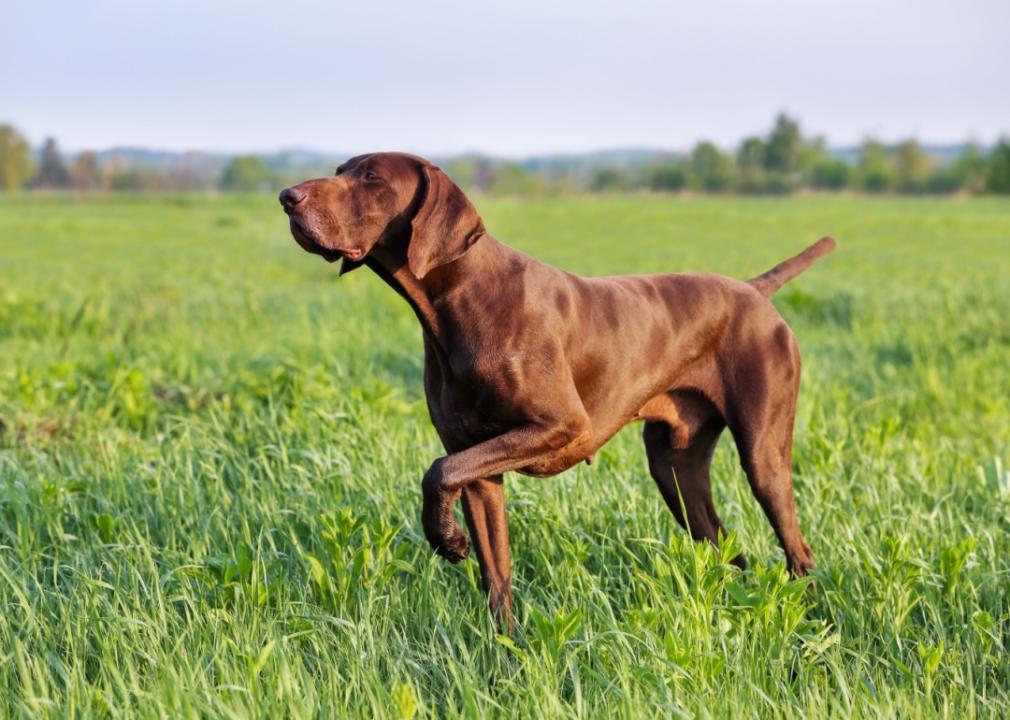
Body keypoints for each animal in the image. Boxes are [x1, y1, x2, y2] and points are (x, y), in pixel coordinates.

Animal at [280, 151, 832, 630]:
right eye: (340, 170)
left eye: (371, 177)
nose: (287, 196)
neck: (462, 303)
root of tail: (753, 291)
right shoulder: (479, 469)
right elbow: (494, 572)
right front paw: (505, 650)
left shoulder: (561, 426)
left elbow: (437, 472)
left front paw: (447, 540)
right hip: (675, 469)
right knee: (726, 548)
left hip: (763, 456)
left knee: (797, 550)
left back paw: (809, 622)